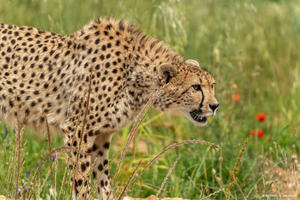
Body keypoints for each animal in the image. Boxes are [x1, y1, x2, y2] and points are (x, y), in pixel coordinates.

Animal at [1, 18, 219, 199]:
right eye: (196, 87)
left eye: (212, 85)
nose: (215, 105)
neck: (136, 75)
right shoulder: (77, 130)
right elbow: (81, 180)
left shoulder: (101, 136)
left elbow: (103, 181)